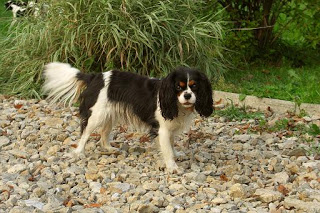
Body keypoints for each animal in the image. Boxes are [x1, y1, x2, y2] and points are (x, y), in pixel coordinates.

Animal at [42, 62, 212, 172]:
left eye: (194, 86)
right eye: (178, 87)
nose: (188, 95)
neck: (175, 102)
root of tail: (95, 77)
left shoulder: (170, 128)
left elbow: (171, 144)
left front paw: (176, 155)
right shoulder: (163, 129)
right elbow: (167, 149)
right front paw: (173, 167)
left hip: (110, 115)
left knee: (104, 134)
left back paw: (109, 149)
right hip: (97, 115)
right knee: (85, 133)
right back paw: (79, 153)